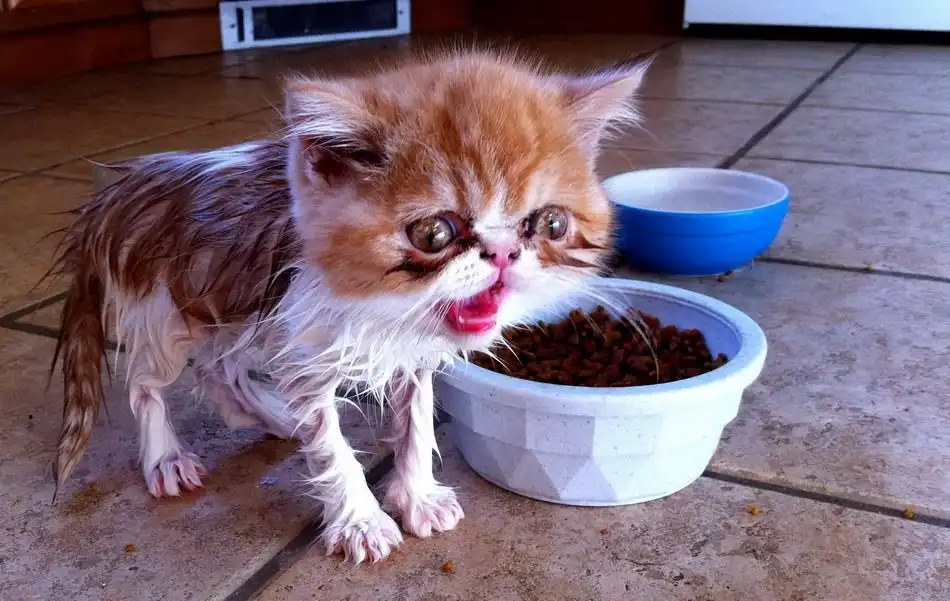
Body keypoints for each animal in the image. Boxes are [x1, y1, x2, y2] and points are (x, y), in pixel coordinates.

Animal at [49, 51, 647, 563]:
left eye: (550, 224)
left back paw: (271, 416)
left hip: (241, 307)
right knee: (147, 379)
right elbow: (330, 444)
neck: (385, 309)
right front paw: (360, 519)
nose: (503, 253)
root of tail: (124, 187)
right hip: (171, 309)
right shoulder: (303, 346)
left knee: (221, 367)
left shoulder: (403, 352)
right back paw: (165, 457)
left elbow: (418, 420)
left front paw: (416, 496)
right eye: (434, 233)